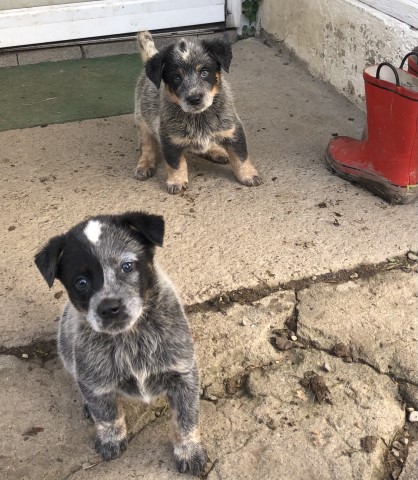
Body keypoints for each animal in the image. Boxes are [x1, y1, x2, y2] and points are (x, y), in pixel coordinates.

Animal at [34, 213, 207, 476]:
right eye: (81, 282)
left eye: (127, 266)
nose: (109, 307)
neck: (130, 338)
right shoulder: (94, 379)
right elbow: (107, 414)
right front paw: (111, 439)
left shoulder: (183, 373)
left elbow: (186, 419)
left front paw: (189, 451)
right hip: (65, 343)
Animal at [134, 30, 260, 193]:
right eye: (176, 78)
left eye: (204, 72)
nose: (194, 99)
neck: (199, 117)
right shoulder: (169, 138)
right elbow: (175, 163)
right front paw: (176, 181)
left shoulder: (233, 130)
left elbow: (241, 156)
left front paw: (248, 175)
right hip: (142, 121)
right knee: (147, 147)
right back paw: (144, 165)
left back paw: (217, 151)